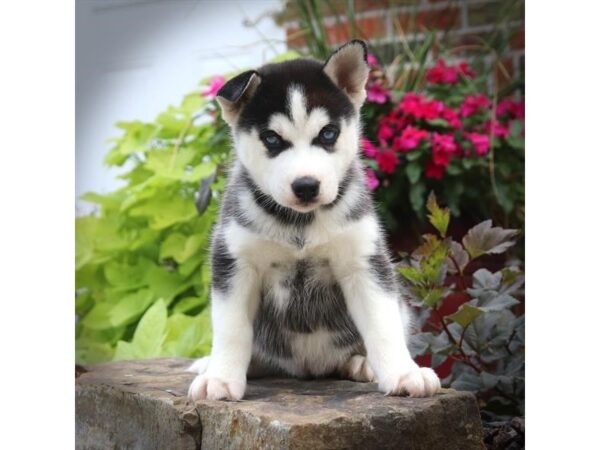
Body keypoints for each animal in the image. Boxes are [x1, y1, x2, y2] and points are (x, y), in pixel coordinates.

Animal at [188, 41, 440, 400]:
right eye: (272, 139)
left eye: (328, 133)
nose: (306, 186)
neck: (300, 225)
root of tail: (308, 370)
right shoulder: (234, 261)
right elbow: (231, 329)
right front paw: (220, 378)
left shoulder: (363, 261)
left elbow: (383, 324)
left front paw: (404, 373)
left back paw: (360, 363)